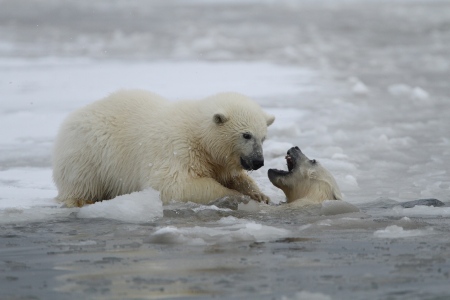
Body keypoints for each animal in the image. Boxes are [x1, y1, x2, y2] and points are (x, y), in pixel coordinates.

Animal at [51, 91, 272, 209]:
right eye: (246, 135)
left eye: (263, 137)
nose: (258, 161)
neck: (198, 135)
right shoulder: (177, 150)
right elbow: (175, 185)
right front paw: (236, 196)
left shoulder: (217, 160)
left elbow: (234, 176)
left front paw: (260, 195)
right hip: (89, 151)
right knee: (82, 180)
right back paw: (80, 200)